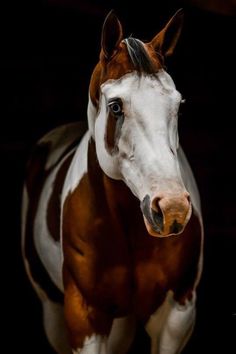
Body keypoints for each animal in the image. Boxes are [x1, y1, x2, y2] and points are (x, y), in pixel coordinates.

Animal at [21, 9, 204, 354]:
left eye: (178, 105)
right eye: (116, 106)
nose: (172, 209)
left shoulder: (177, 313)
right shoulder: (84, 315)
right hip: (53, 310)